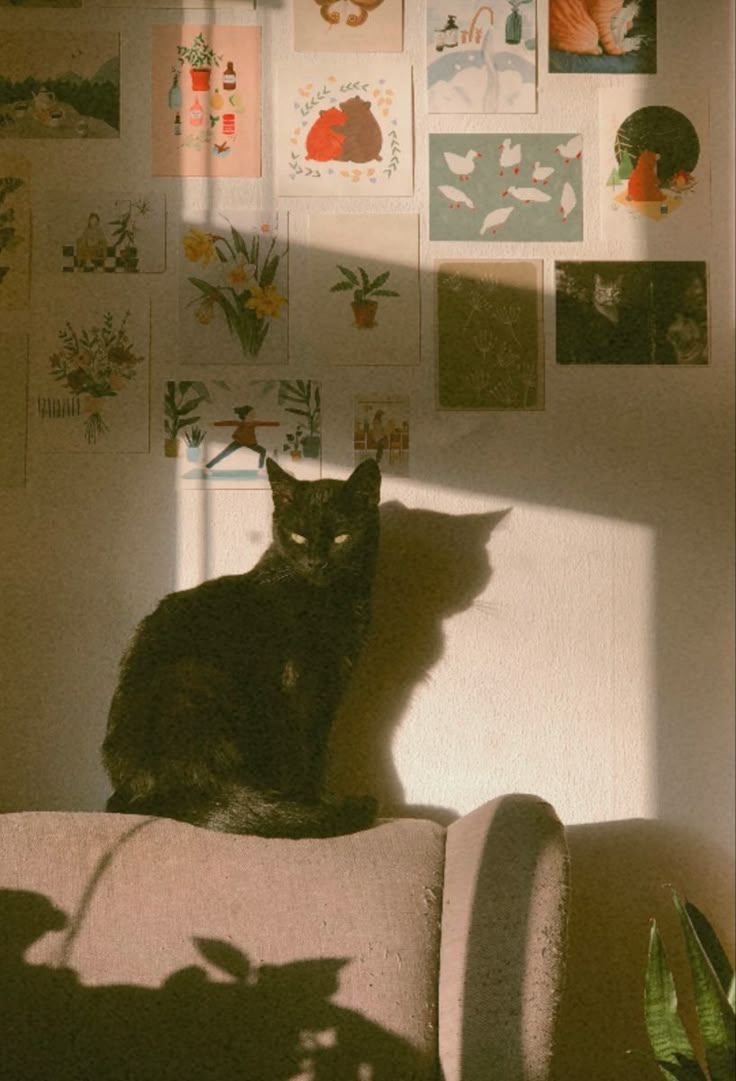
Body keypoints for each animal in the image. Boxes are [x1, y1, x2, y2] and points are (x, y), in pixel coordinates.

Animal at [103, 456, 382, 834]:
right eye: (298, 536)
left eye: (342, 537)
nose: (316, 562)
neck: (329, 601)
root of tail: (141, 796)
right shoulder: (297, 686)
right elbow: (300, 750)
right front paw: (309, 806)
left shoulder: (331, 687)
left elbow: (318, 749)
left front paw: (314, 799)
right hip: (198, 680)